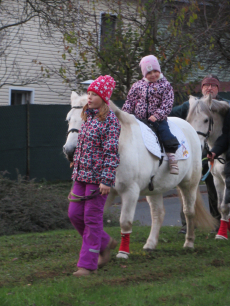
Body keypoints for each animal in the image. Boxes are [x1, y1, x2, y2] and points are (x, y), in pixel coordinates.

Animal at [63, 91, 216, 258]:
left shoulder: (130, 192)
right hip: (155, 188)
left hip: (189, 184)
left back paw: (189, 243)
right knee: (158, 213)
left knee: (189, 212)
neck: (121, 147)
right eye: (68, 119)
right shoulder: (104, 192)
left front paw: (122, 253)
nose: (70, 151)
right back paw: (150, 244)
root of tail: (190, 129)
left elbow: (125, 222)